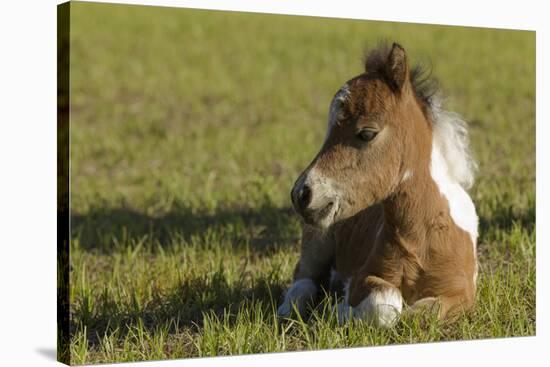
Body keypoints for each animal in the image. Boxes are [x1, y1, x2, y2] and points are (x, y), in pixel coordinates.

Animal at [278, 43, 480, 328]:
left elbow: (425, 312)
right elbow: (386, 304)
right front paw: (340, 309)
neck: (422, 237)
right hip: (316, 240)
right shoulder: (366, 275)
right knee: (304, 279)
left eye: (367, 133)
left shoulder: (462, 292)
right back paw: (292, 307)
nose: (302, 194)